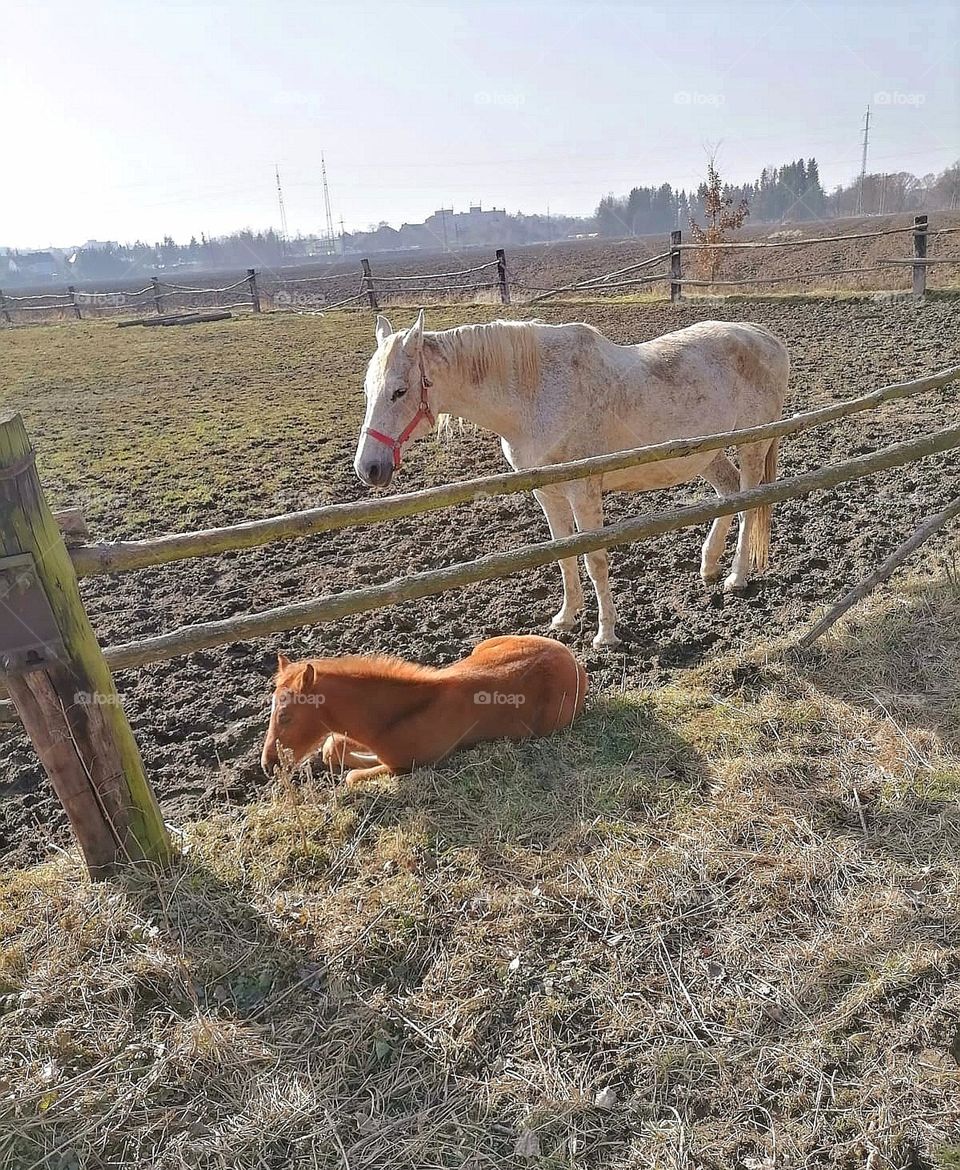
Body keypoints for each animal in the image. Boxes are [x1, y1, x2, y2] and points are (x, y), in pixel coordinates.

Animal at [260, 634, 587, 785]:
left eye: (285, 716)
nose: (268, 764)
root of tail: (573, 659)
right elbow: (332, 747)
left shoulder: (413, 765)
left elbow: (353, 776)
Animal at [353, 311, 790, 647]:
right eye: (368, 391)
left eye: (400, 391)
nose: (368, 468)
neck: (536, 397)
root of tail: (765, 337)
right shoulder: (548, 494)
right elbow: (563, 554)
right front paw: (565, 618)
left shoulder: (583, 491)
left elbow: (595, 560)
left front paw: (606, 634)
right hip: (706, 454)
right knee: (728, 494)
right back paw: (709, 566)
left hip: (751, 446)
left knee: (750, 503)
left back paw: (735, 578)